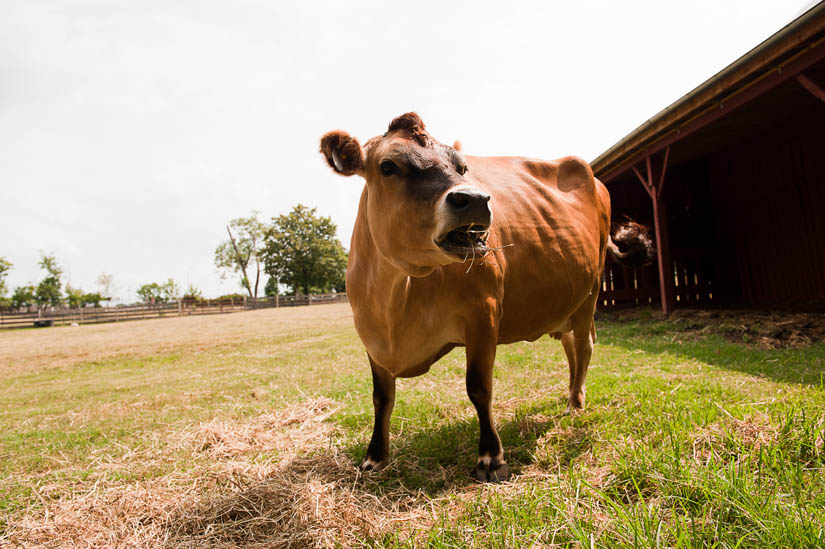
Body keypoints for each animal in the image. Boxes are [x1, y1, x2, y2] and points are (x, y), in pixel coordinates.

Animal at [318, 112, 652, 480]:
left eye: (462, 167)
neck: (393, 303)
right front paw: (374, 457)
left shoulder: (483, 313)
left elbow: (479, 387)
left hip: (590, 291)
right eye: (388, 166)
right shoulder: (371, 338)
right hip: (567, 301)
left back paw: (575, 403)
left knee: (584, 344)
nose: (476, 199)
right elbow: (381, 397)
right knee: (570, 345)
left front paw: (491, 457)